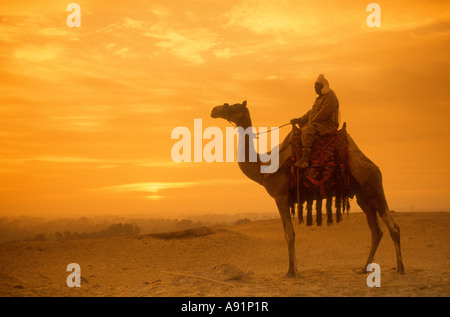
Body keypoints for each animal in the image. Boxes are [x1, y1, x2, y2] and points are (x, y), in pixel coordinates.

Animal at [210, 100, 404, 276]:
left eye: (234, 106)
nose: (215, 109)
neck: (264, 166)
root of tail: (375, 167)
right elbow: (291, 233)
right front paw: (295, 269)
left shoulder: (280, 195)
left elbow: (289, 234)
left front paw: (290, 272)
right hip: (362, 196)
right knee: (376, 231)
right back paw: (363, 268)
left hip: (373, 185)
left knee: (393, 227)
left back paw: (400, 268)